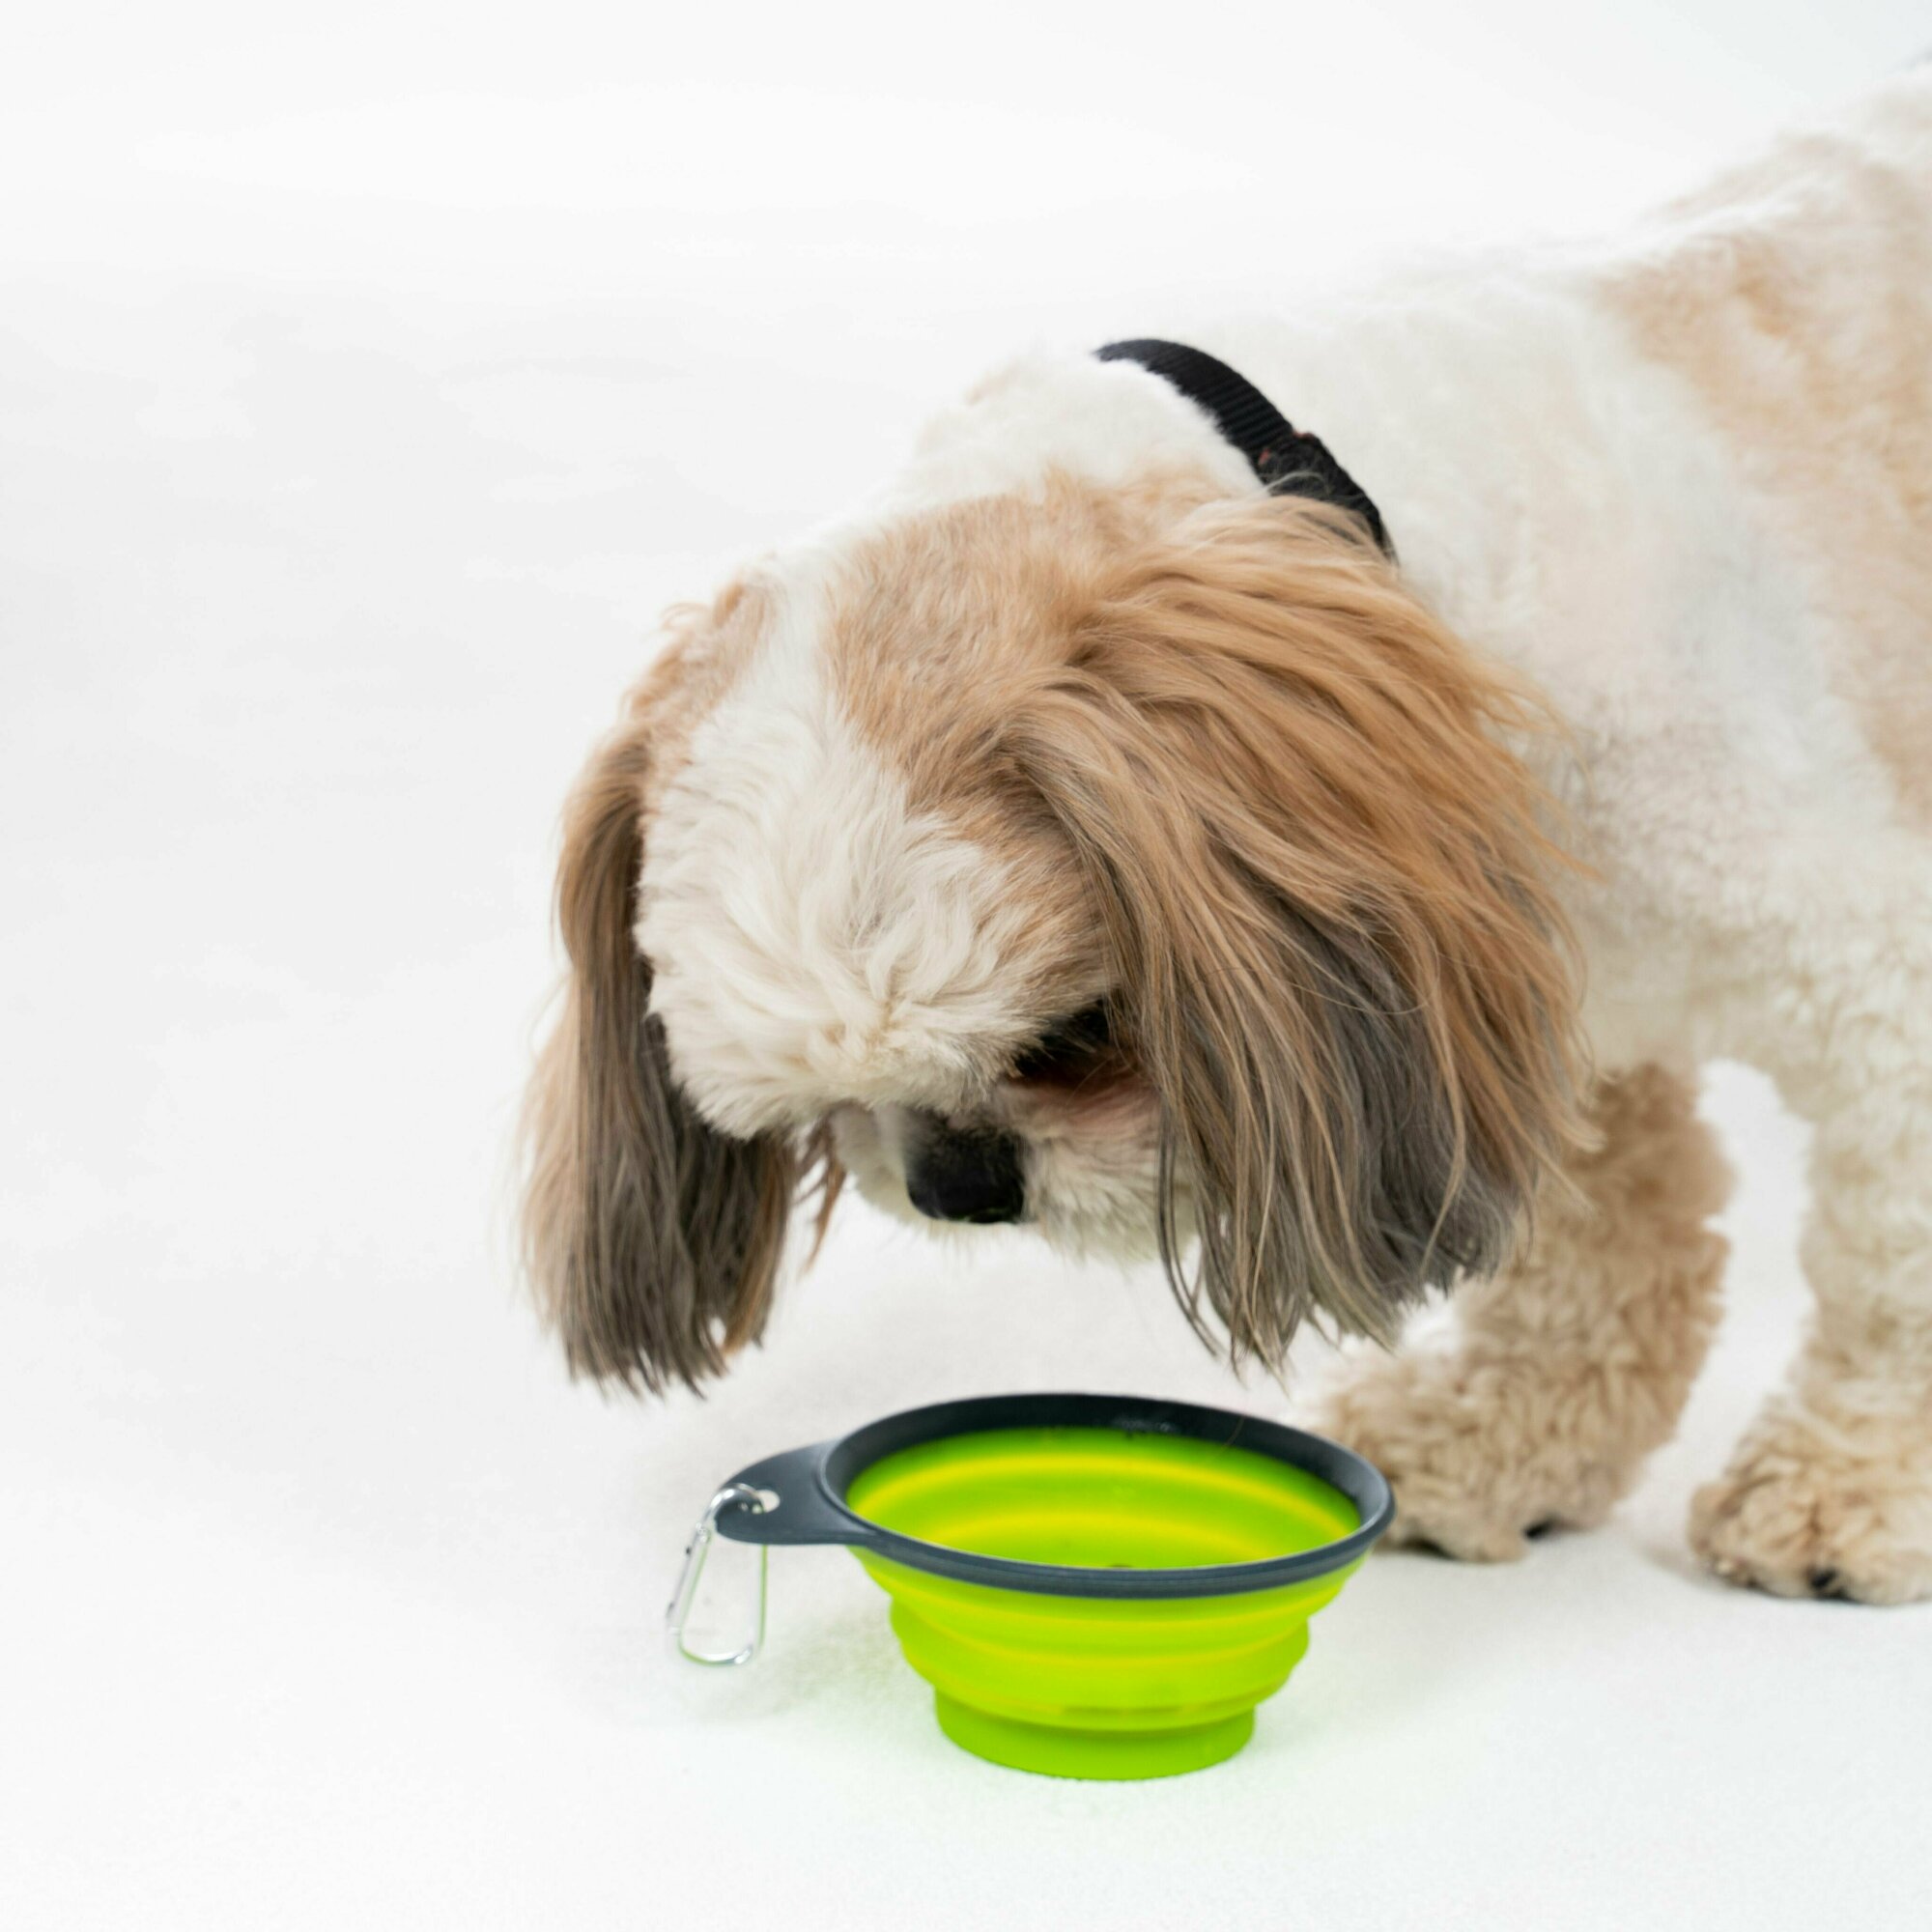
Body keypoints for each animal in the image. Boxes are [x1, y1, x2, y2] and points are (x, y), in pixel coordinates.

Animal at [522, 79, 1932, 1600]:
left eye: (1076, 1036)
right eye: (817, 1112)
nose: (962, 1185)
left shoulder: (1865, 976)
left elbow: (1891, 1256)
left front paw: (1850, 1482)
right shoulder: (1510, 998)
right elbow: (1596, 1245)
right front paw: (1499, 1434)